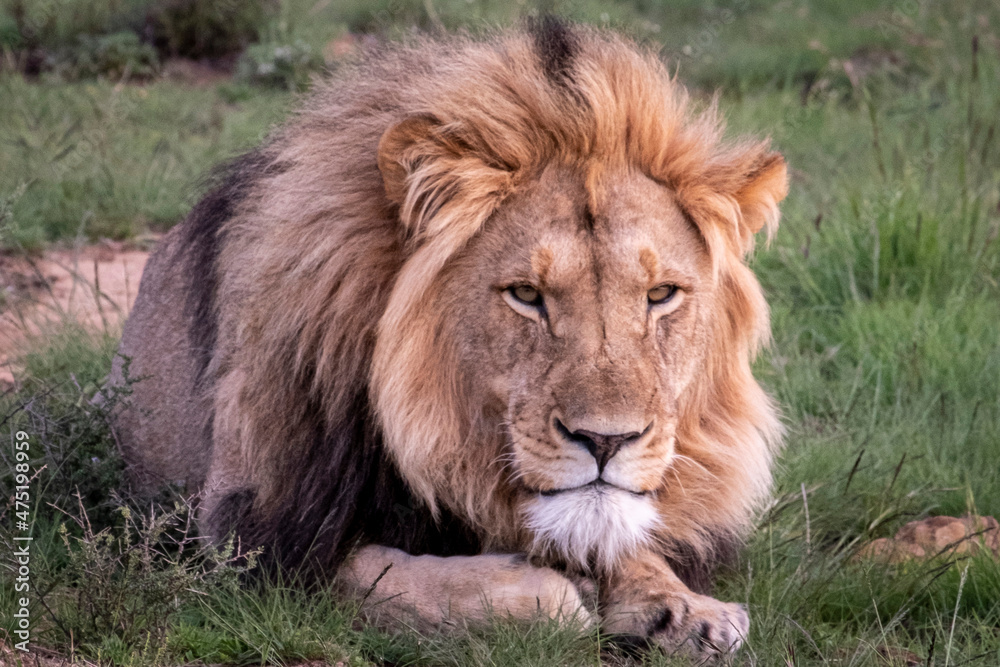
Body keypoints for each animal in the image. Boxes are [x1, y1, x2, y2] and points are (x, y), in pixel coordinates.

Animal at [111, 19, 788, 656]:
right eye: (526, 295)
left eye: (660, 294)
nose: (606, 440)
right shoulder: (257, 540)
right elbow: (398, 578)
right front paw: (556, 594)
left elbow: (623, 536)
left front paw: (684, 606)